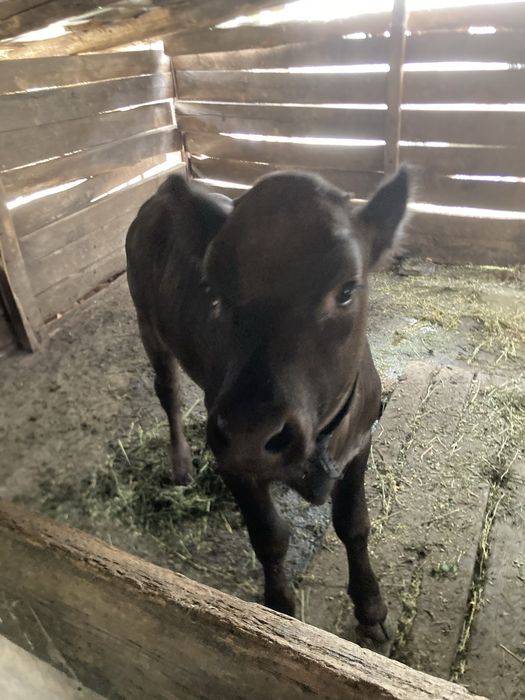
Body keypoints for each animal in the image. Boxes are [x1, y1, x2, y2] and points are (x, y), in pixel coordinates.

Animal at [126, 167, 410, 639]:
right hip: (147, 323)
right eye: (213, 290)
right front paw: (279, 610)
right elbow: (270, 537)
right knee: (168, 392)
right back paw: (181, 463)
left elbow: (354, 525)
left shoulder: (360, 442)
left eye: (346, 290)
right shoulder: (230, 459)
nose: (250, 433)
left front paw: (371, 609)